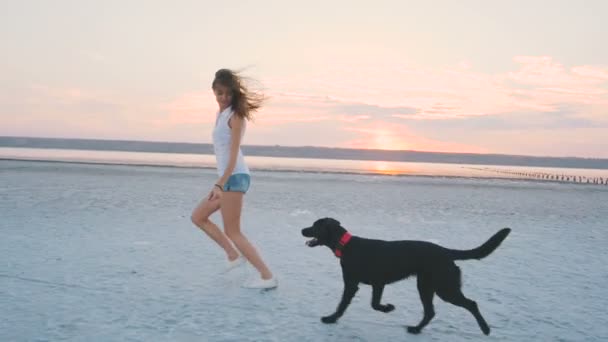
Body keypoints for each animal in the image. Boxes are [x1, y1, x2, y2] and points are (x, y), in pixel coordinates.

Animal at [302, 218, 510, 336]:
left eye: (315, 226)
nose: (302, 230)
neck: (346, 245)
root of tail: (446, 252)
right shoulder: (378, 284)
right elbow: (373, 304)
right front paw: (387, 308)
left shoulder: (353, 284)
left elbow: (344, 305)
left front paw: (331, 318)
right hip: (426, 286)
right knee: (430, 312)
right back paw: (416, 330)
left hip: (444, 288)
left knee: (471, 304)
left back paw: (485, 329)